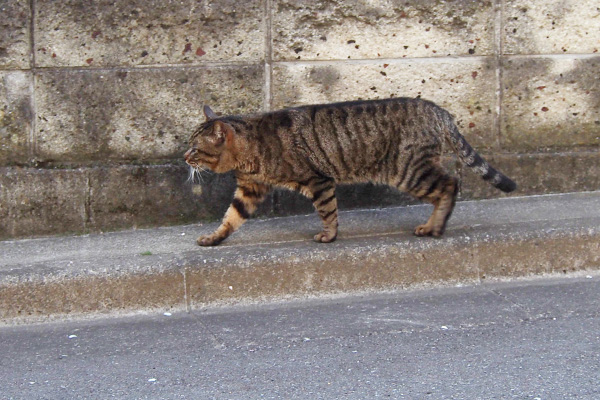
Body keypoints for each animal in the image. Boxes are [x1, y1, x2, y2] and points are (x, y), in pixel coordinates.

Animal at [184, 98, 516, 245]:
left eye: (195, 148)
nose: (185, 157)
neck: (250, 151)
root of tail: (441, 111)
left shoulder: (318, 180)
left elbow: (328, 211)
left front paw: (329, 235)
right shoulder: (249, 189)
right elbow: (231, 217)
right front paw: (214, 238)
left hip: (408, 170)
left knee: (450, 184)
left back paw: (434, 228)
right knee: (445, 187)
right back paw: (431, 225)